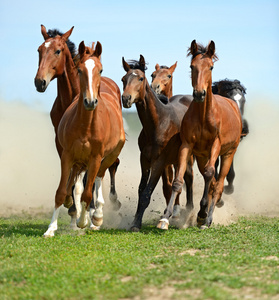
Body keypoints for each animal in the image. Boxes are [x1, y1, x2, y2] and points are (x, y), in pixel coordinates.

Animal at [34, 25, 122, 229]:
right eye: (39, 50)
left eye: (58, 51)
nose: (40, 82)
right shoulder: (62, 145)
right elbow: (73, 178)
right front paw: (72, 208)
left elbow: (89, 178)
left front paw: (88, 212)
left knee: (109, 167)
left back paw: (105, 206)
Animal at [122, 54, 195, 232]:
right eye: (123, 79)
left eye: (141, 78)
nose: (126, 99)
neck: (159, 123)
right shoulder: (144, 160)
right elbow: (141, 190)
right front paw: (135, 221)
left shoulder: (159, 161)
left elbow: (147, 193)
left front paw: (137, 224)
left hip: (188, 156)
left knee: (189, 178)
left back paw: (188, 212)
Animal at [159, 40, 244, 230]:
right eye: (192, 66)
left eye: (211, 66)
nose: (199, 93)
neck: (205, 116)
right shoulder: (187, 146)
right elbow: (178, 179)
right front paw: (166, 217)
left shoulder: (216, 146)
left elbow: (210, 174)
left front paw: (203, 214)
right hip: (202, 157)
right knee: (211, 183)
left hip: (228, 153)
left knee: (218, 184)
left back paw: (207, 217)